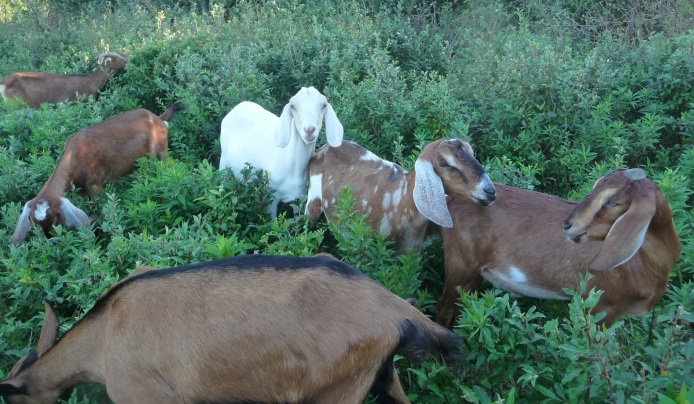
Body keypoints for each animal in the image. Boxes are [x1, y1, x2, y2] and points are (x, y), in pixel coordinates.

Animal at [0, 52, 128, 109]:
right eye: (115, 58)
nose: (127, 58)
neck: (91, 81)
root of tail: (4, 82)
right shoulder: (76, 103)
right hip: (14, 104)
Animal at [9, 102, 188, 245]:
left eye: (56, 218)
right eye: (34, 223)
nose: (51, 240)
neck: (74, 155)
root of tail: (158, 119)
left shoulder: (95, 187)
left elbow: (98, 213)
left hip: (161, 152)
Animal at [220, 85, 346, 218]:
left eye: (324, 105)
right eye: (292, 106)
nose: (309, 130)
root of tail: (239, 106)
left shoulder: (300, 197)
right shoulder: (271, 196)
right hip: (223, 165)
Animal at [438, 167, 684, 328]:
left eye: (612, 201)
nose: (568, 225)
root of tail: (452, 199)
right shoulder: (600, 307)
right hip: (460, 266)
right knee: (444, 308)